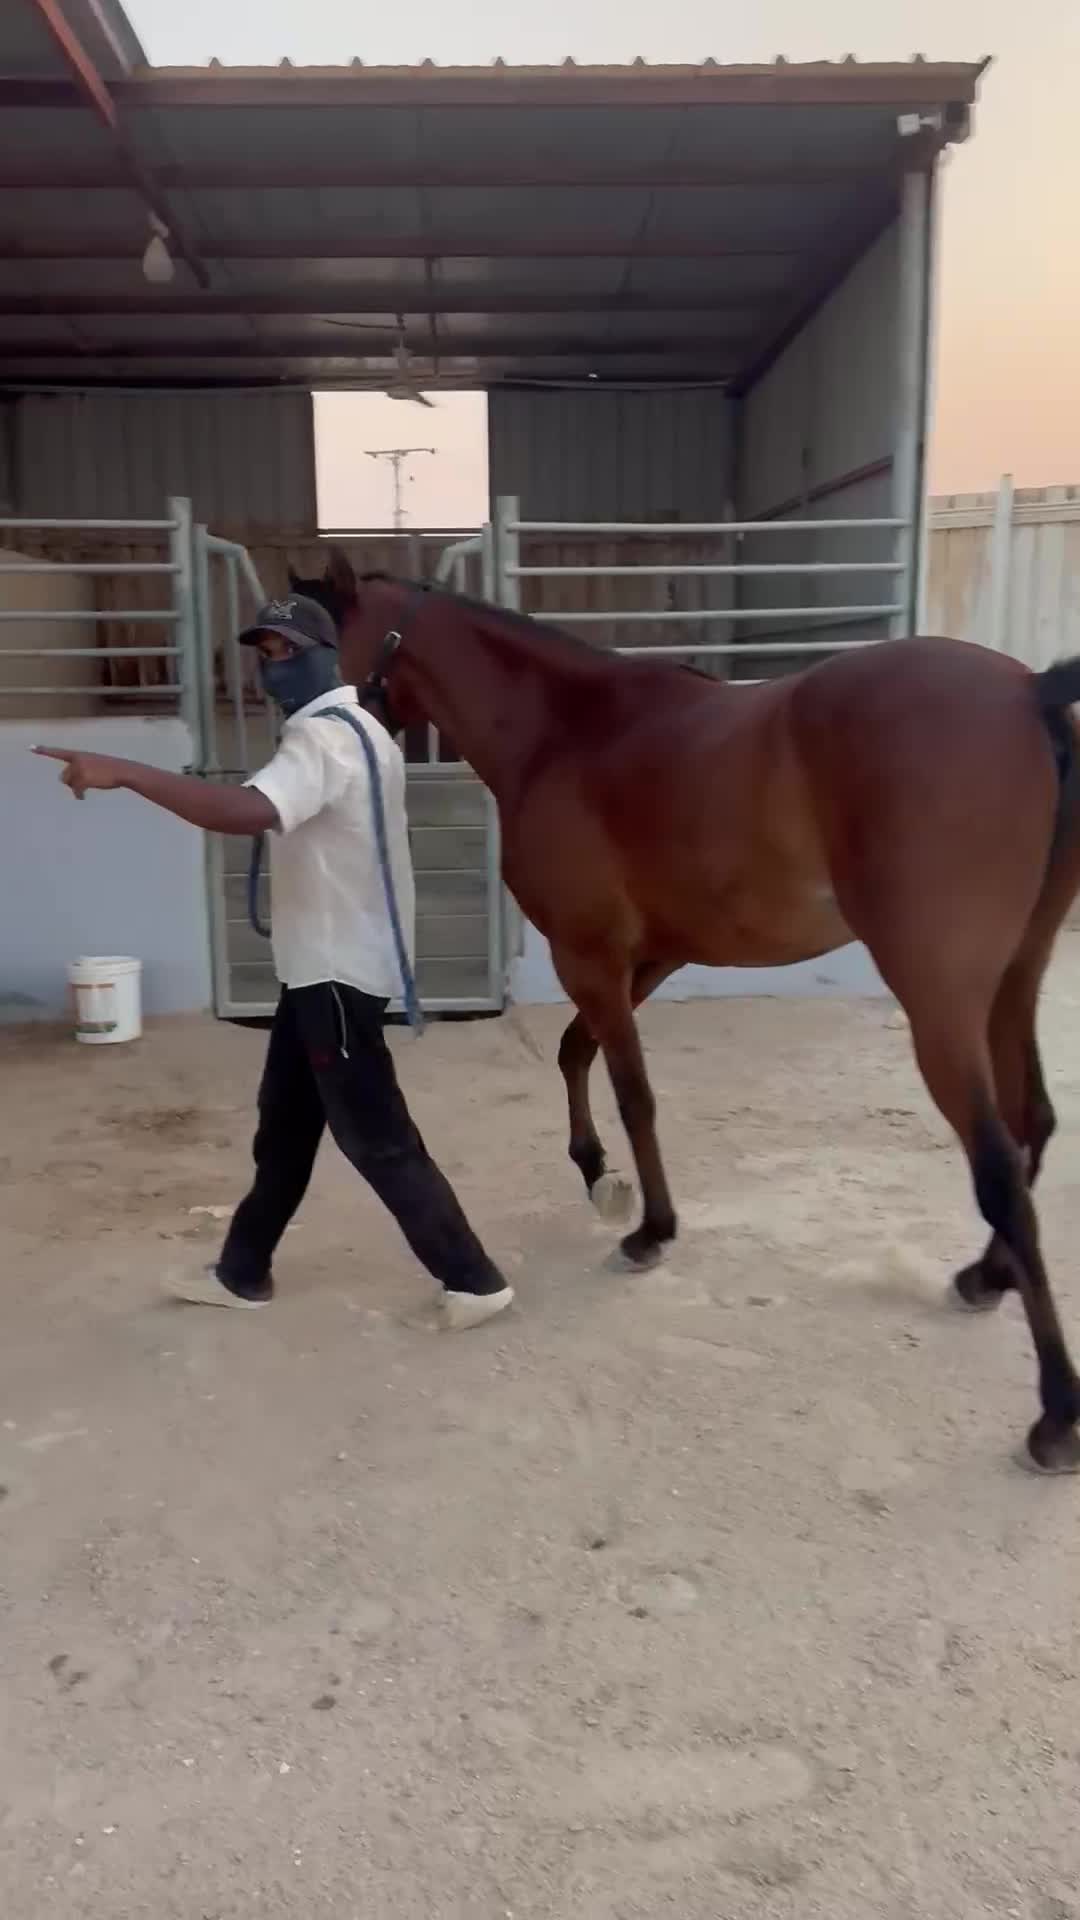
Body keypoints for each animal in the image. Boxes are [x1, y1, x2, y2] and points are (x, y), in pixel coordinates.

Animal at [289, 550, 1080, 1473]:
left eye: (326, 643)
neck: (564, 733)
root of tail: (1027, 690)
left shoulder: (591, 956)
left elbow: (631, 1089)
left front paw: (649, 1229)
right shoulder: (651, 956)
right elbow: (575, 1052)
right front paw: (600, 1177)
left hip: (941, 1001)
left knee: (998, 1167)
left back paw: (1054, 1414)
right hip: (1013, 981)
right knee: (1032, 1124)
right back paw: (986, 1277)